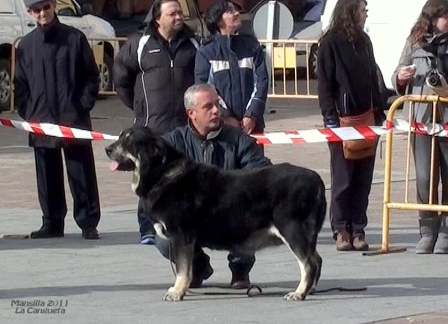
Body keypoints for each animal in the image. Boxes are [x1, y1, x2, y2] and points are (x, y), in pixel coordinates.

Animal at [107, 126, 328, 302]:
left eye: (128, 140)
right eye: (120, 136)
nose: (107, 149)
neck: (162, 173)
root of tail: (316, 179)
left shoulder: (181, 235)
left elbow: (182, 269)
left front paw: (177, 292)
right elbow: (186, 268)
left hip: (292, 230)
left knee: (309, 263)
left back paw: (299, 293)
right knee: (317, 259)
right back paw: (310, 290)